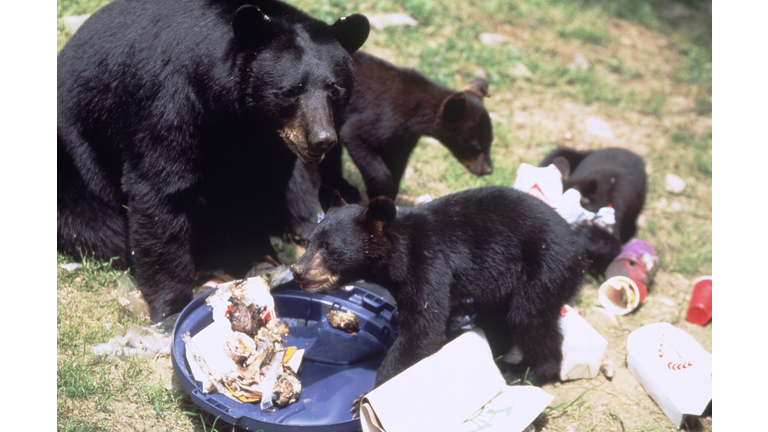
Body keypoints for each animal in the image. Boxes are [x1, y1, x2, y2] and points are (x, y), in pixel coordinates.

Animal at [57, 0, 369, 321]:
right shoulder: (170, 104)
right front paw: (172, 307)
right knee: (98, 226)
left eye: (335, 90)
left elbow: (256, 189)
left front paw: (258, 258)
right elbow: (159, 192)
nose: (322, 139)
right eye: (292, 90)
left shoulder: (269, 144)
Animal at [290, 185, 587, 399]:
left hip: (544, 270)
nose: (297, 270)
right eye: (309, 242)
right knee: (498, 319)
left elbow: (423, 330)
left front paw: (368, 397)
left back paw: (527, 372)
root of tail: (580, 252)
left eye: (329, 248)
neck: (399, 253)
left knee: (528, 318)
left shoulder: (429, 265)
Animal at [319, 51, 495, 203]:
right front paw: (381, 191)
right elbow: (354, 134)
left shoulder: (404, 138)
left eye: (491, 141)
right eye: (477, 146)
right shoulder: (384, 118)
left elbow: (398, 162)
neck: (416, 113)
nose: (488, 170)